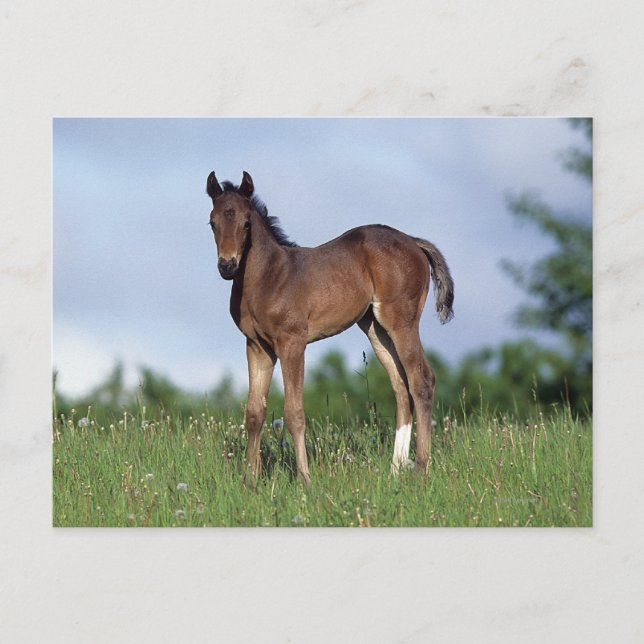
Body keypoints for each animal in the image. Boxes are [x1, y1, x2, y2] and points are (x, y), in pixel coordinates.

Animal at [206, 171, 454, 484]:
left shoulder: (292, 342)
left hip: (402, 320)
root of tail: (413, 240)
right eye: (212, 222)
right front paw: (250, 481)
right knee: (401, 386)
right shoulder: (257, 346)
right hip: (375, 327)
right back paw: (395, 469)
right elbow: (253, 413)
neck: (268, 277)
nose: (227, 266)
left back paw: (421, 468)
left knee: (421, 380)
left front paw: (305, 478)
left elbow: (294, 412)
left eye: (246, 223)